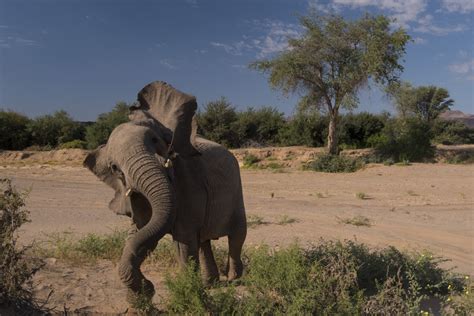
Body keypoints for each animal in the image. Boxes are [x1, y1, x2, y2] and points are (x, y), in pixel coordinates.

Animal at [84, 81, 248, 304]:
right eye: (115, 168)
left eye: (154, 140)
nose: (149, 287)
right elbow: (141, 233)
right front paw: (139, 298)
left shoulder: (188, 180)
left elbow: (183, 241)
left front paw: (189, 295)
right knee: (203, 241)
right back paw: (210, 283)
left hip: (236, 190)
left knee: (237, 235)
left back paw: (233, 279)